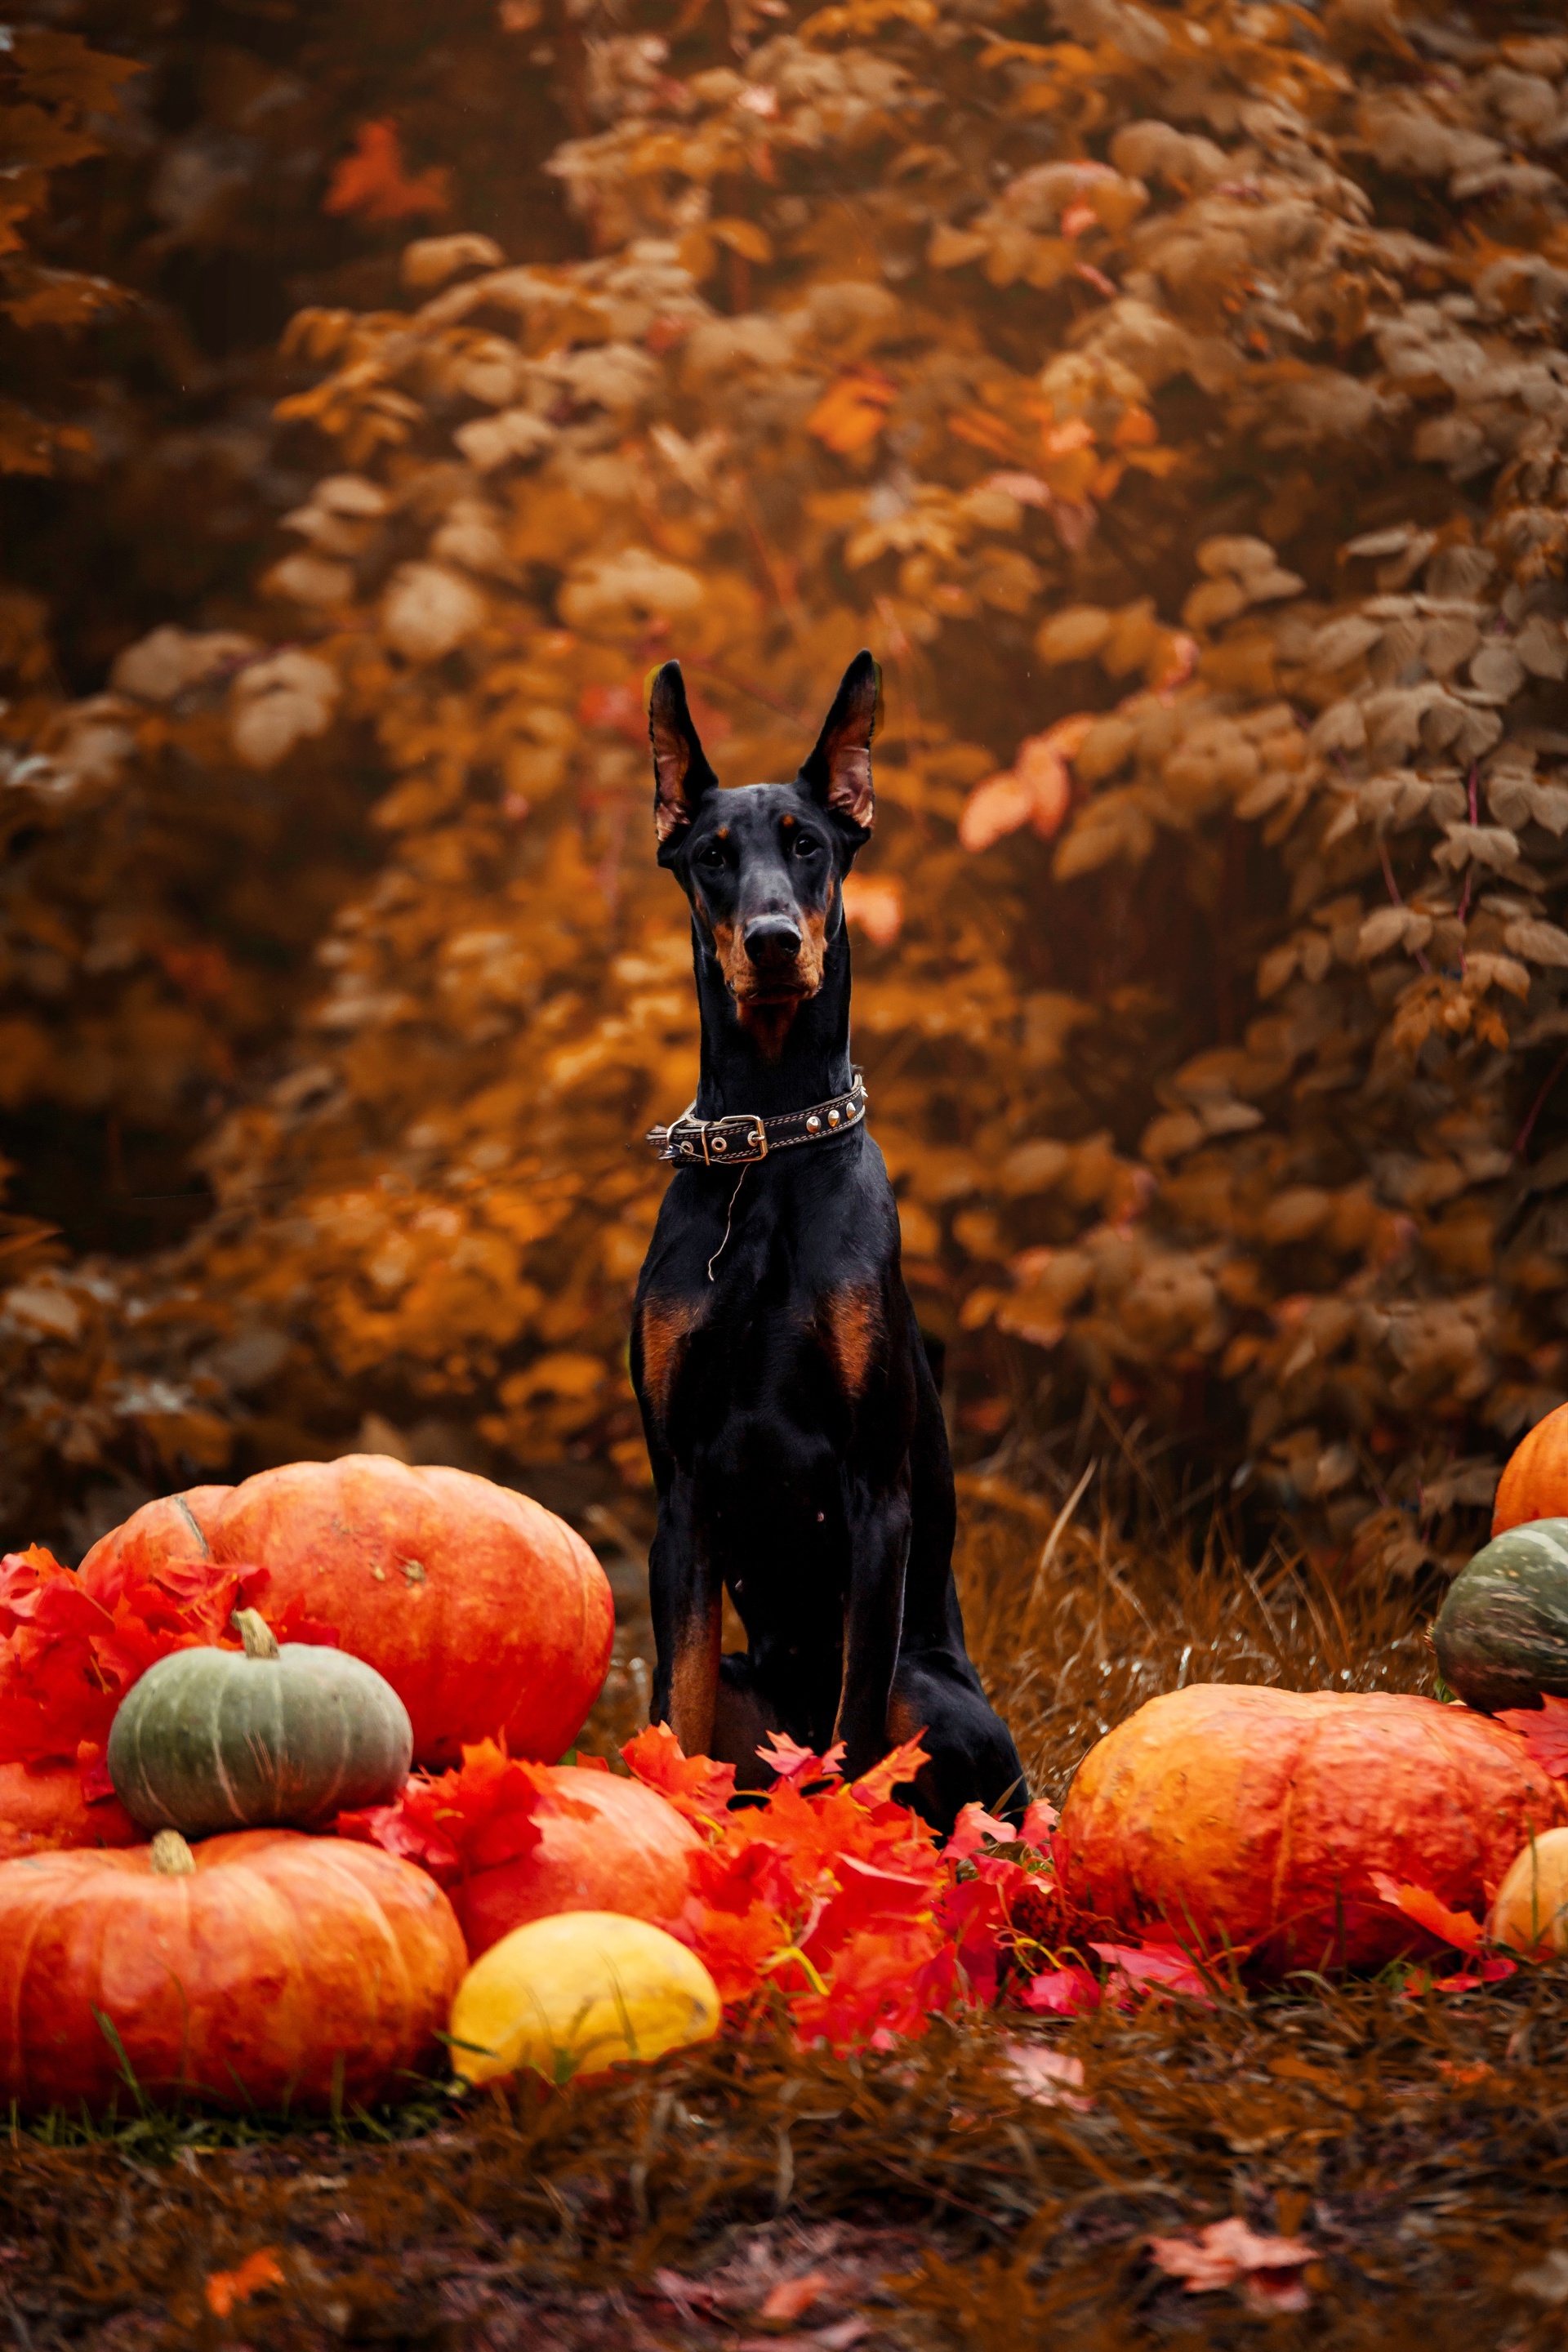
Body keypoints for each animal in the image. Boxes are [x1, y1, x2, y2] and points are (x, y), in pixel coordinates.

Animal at [630, 648, 1025, 1834]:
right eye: (713, 857)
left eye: (808, 844)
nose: (771, 944)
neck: (768, 1149)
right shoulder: (682, 1494)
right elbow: (679, 1709)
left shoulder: (873, 1493)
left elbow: (853, 1734)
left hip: (935, 1691)